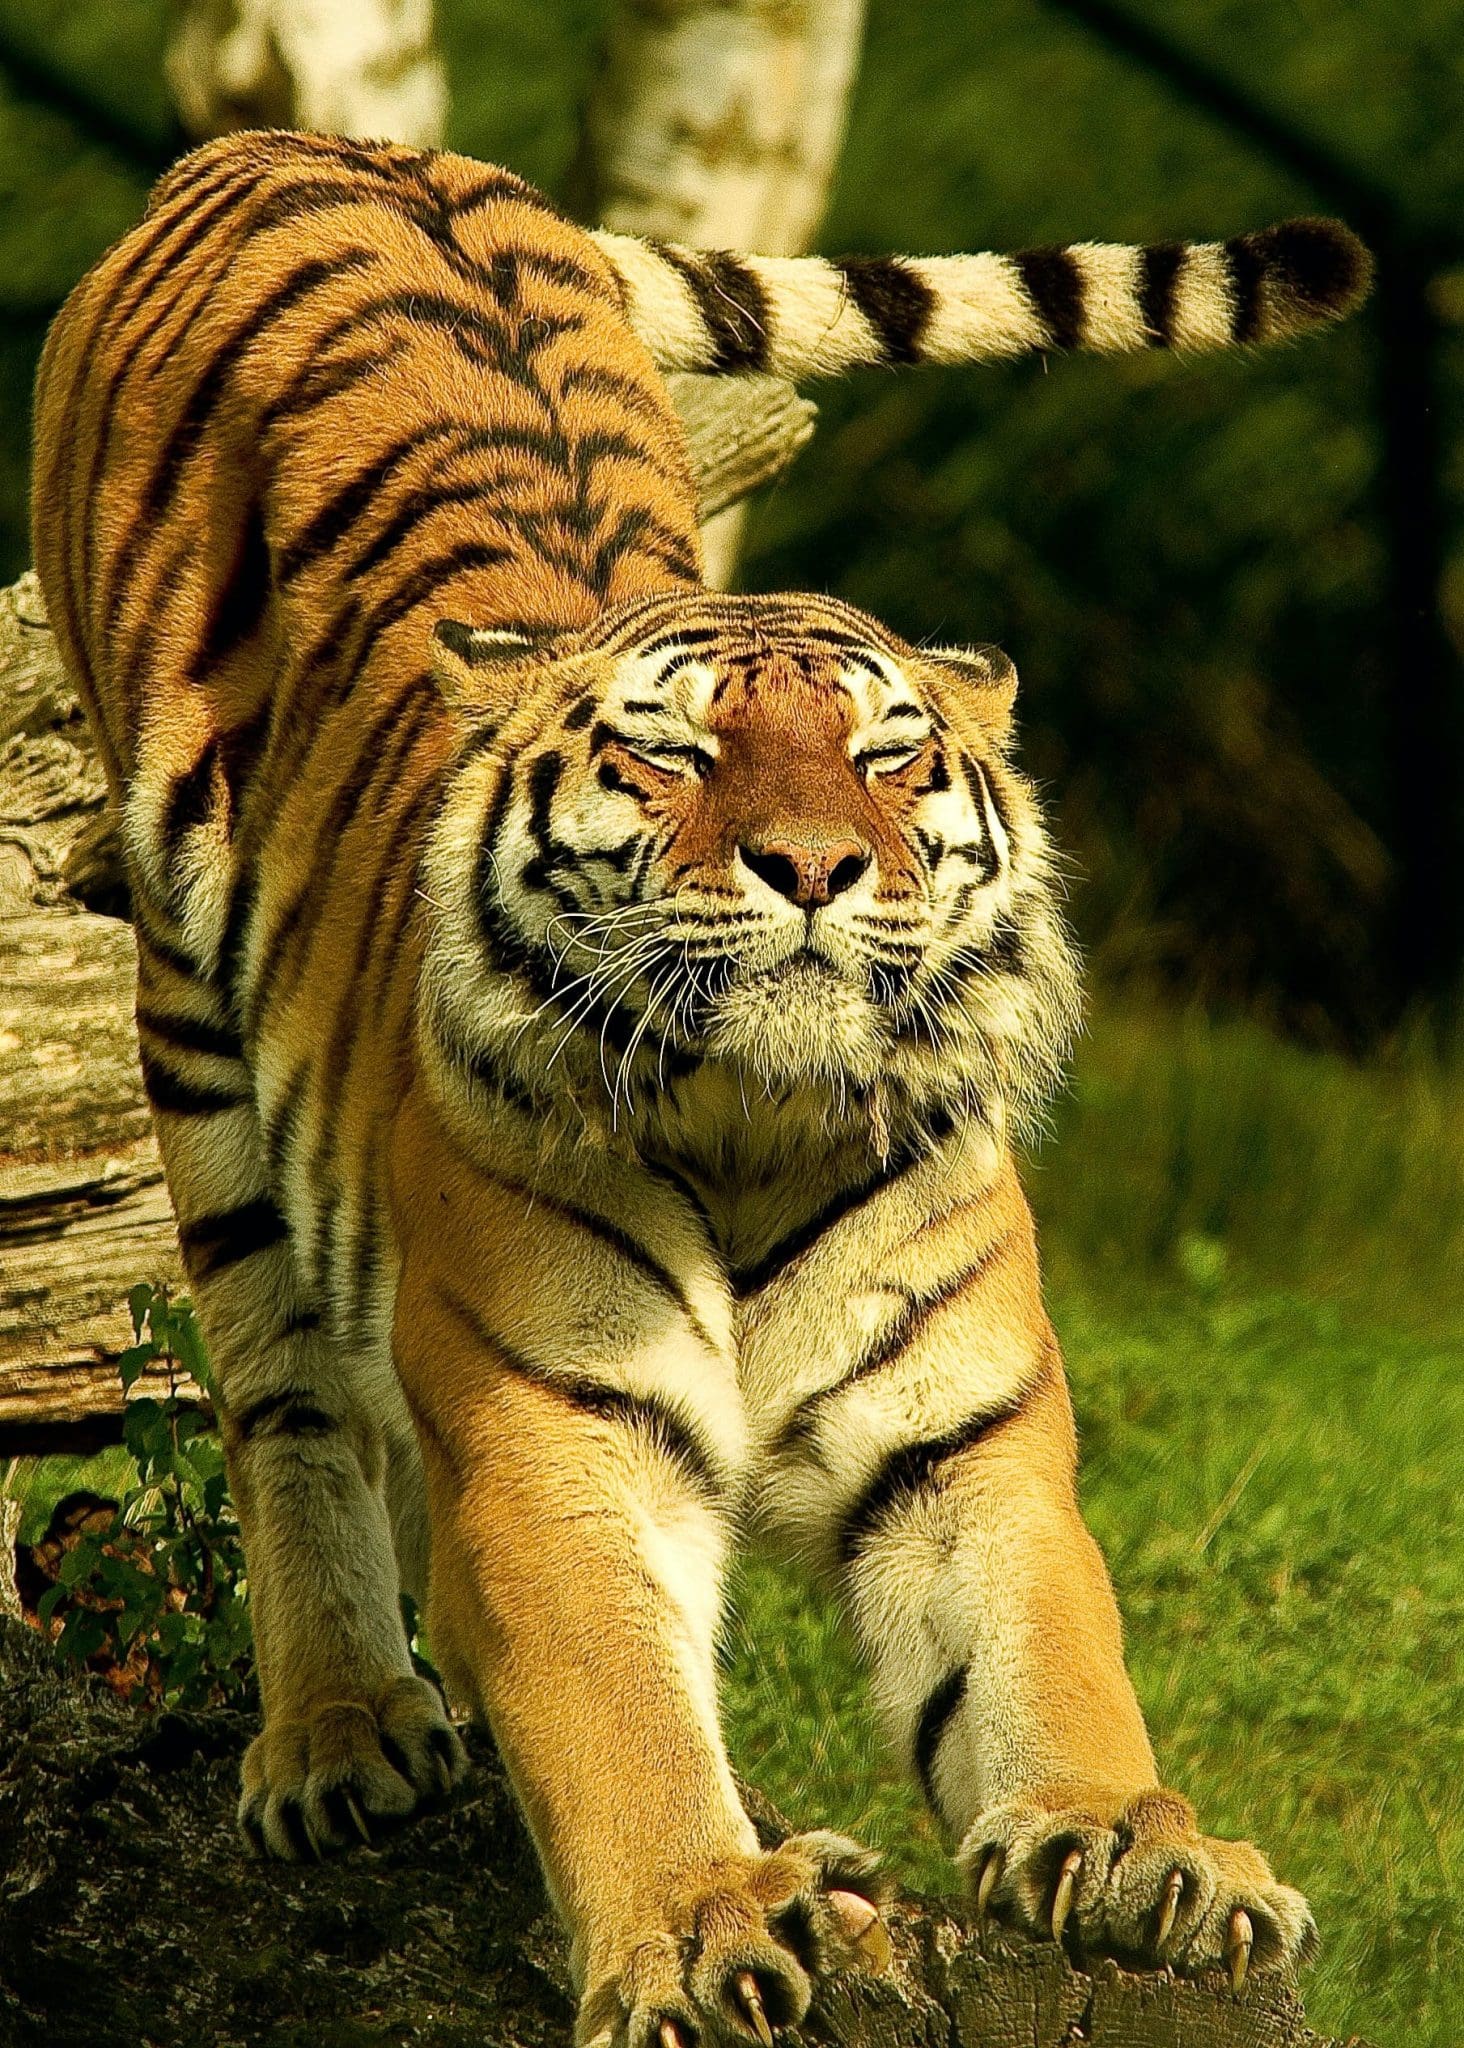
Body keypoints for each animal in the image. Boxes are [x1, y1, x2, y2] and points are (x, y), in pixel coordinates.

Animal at [32, 128, 1367, 2048]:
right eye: (674, 753)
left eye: (888, 755)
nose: (812, 861)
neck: (755, 1123)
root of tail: (303, 142)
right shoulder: (553, 1436)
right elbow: (616, 1714)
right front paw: (697, 1918)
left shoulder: (966, 1447)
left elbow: (1047, 1661)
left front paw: (1144, 1846)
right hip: (192, 1029)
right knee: (282, 1396)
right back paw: (340, 1734)